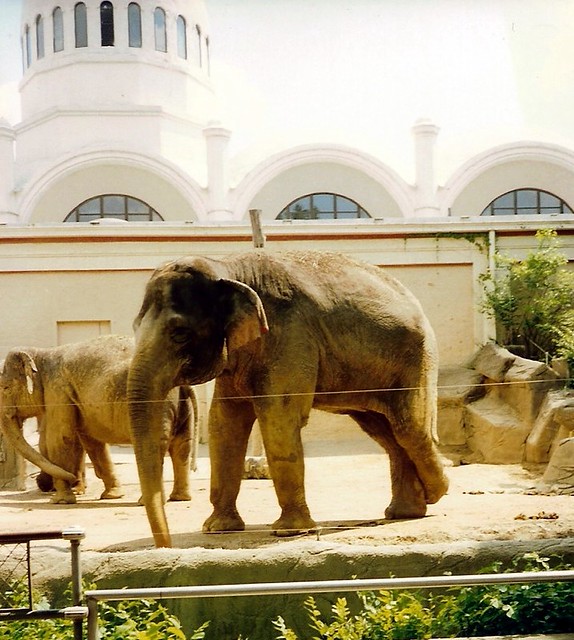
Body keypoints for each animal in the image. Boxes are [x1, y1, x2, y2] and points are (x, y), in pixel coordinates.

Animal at [0, 334, 197, 505]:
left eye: (5, 388)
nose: (73, 478)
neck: (40, 353)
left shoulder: (57, 389)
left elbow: (60, 438)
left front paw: (60, 500)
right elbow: (92, 442)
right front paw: (112, 496)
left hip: (157, 404)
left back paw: (147, 502)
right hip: (181, 407)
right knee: (182, 446)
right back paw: (180, 498)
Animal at [127, 250, 449, 548]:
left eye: (180, 333)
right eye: (134, 326)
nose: (165, 545)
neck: (226, 266)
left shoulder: (290, 335)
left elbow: (277, 418)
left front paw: (291, 531)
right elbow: (224, 422)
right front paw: (218, 529)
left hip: (416, 359)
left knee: (409, 430)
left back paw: (436, 492)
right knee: (386, 433)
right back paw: (408, 510)